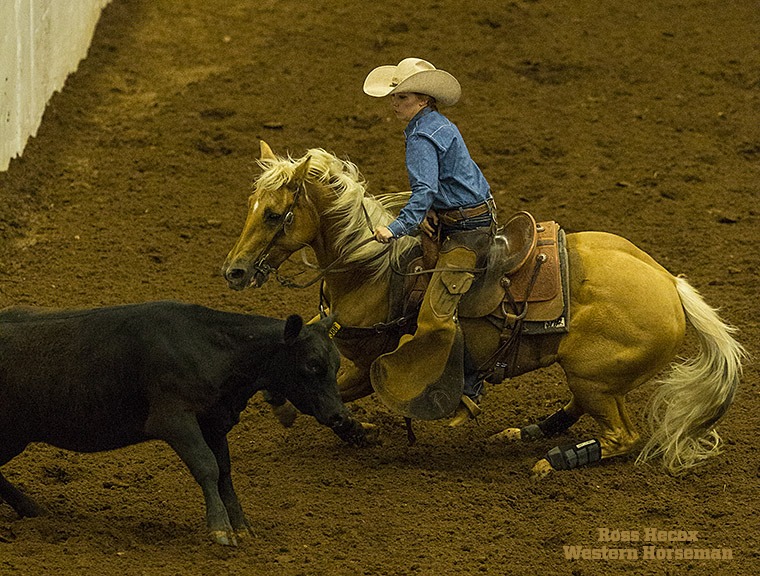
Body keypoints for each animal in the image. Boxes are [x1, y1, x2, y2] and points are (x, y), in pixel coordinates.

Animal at [0, 301, 367, 545]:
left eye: (336, 364)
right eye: (312, 365)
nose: (340, 416)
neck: (213, 348)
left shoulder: (213, 421)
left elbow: (224, 473)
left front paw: (241, 526)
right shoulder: (174, 419)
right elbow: (206, 466)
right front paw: (220, 529)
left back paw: (31, 508)